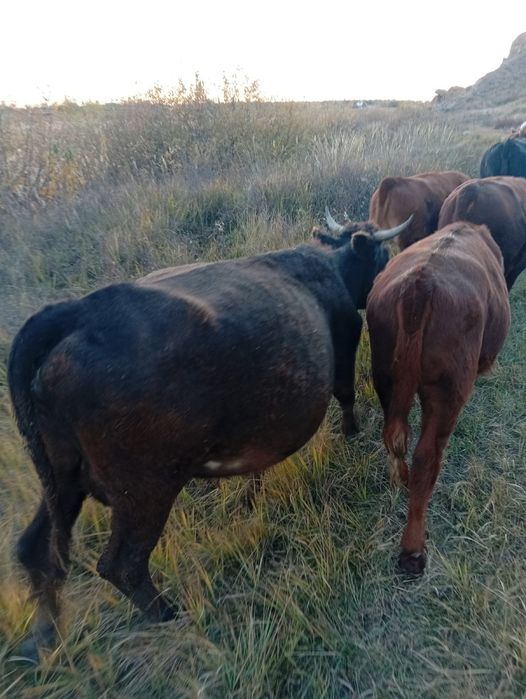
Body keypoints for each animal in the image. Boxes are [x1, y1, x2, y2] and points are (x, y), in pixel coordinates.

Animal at [8, 216, 412, 659]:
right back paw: (168, 614)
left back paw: (43, 638)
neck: (328, 263)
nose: (388, 275)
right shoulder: (345, 335)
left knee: (35, 549)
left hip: (61, 479)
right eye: (382, 254)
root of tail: (74, 312)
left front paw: (251, 496)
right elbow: (346, 393)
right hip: (144, 488)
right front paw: (351, 433)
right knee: (122, 564)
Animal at [366, 222, 510, 575]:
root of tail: (422, 283)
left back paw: (400, 478)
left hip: (385, 377)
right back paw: (412, 550)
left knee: (394, 436)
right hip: (448, 393)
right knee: (427, 456)